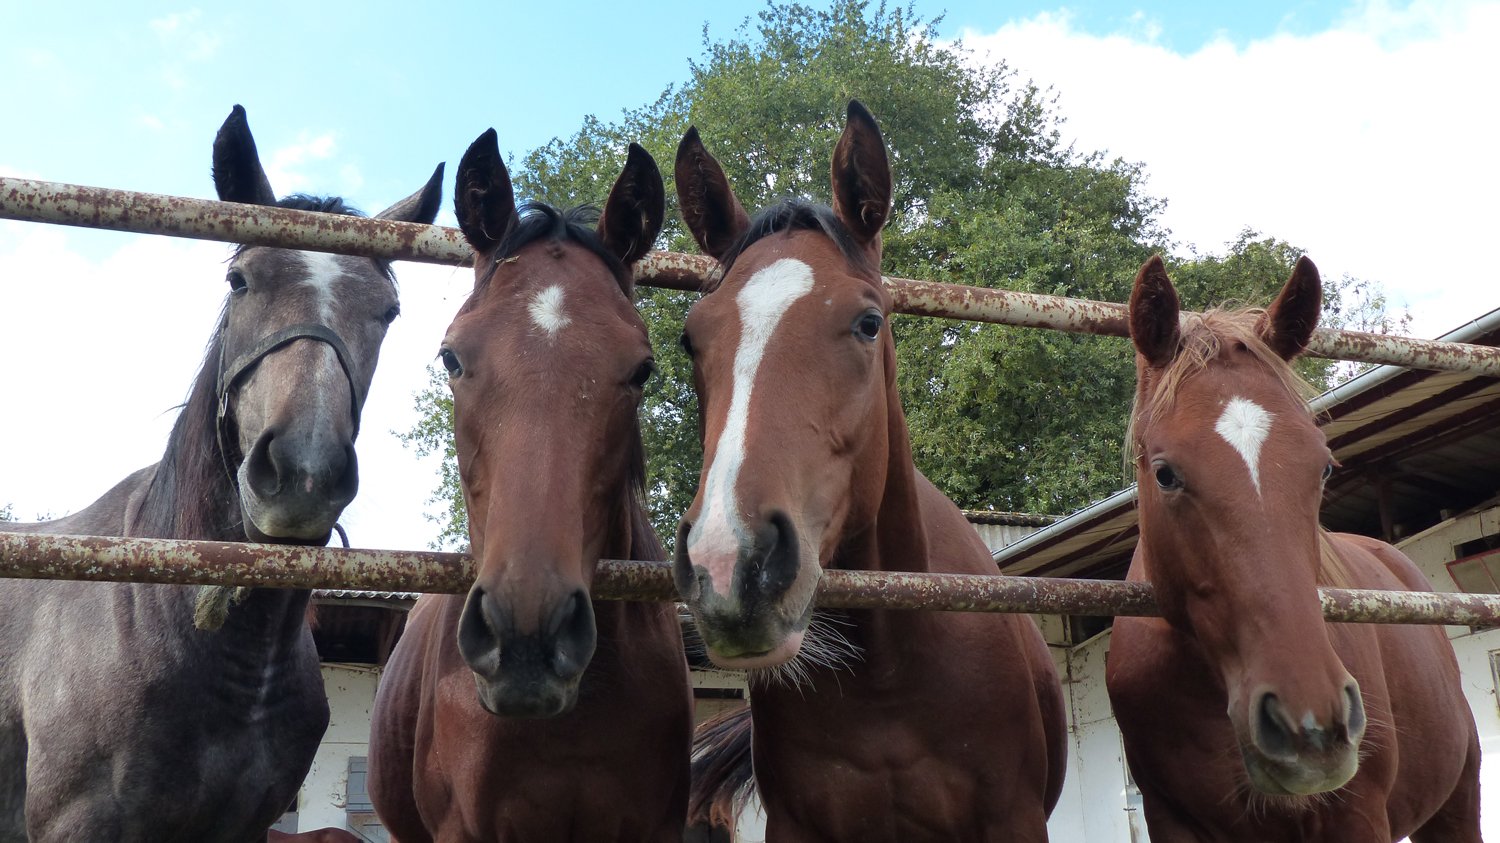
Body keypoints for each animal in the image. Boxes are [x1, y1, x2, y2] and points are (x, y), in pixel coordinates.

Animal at [1104, 255, 1482, 841]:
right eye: (1165, 474)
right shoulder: (1170, 820)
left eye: (1323, 467)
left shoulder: (1358, 817)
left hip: (1457, 802)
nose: (1312, 726)